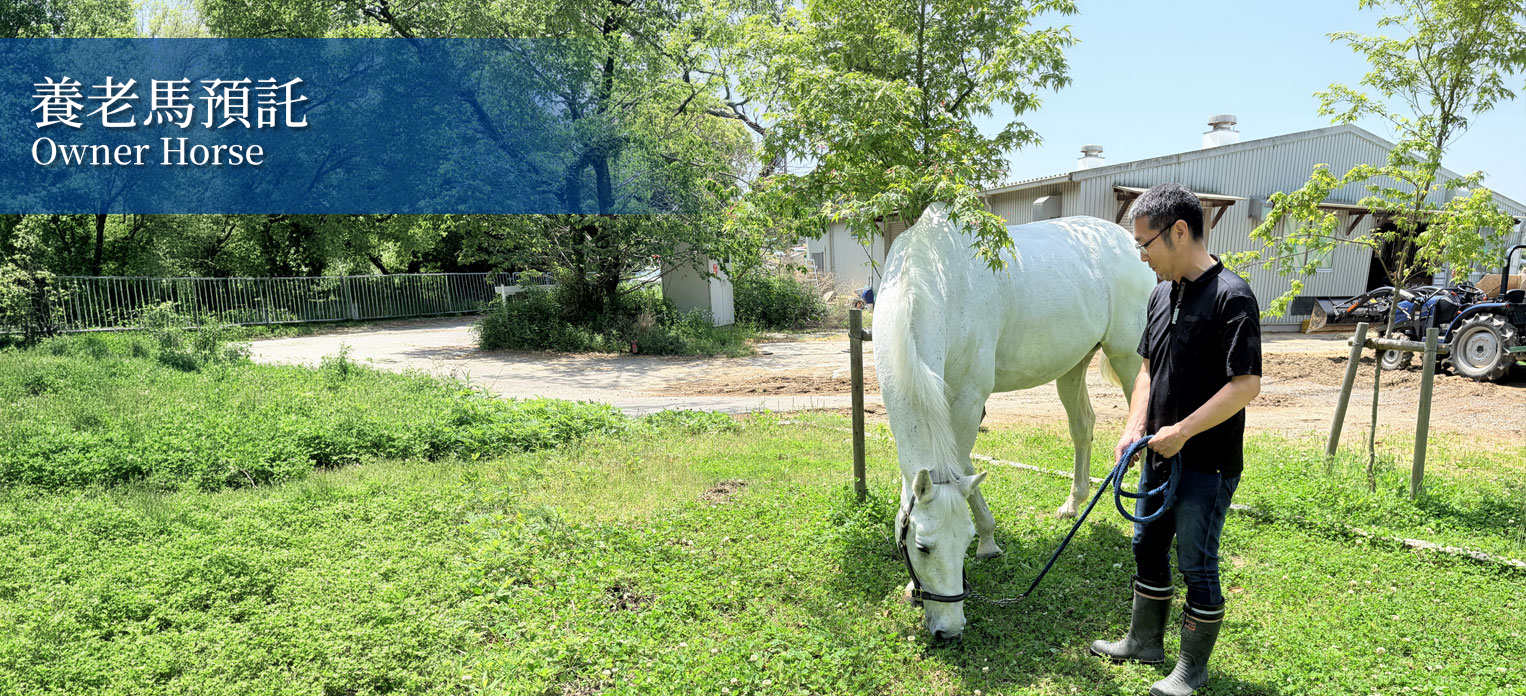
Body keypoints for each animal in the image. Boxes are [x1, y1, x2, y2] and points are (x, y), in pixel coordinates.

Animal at [873, 203, 1156, 639]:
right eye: (922, 547)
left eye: (964, 541)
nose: (951, 630)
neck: (933, 276)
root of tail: (1126, 240)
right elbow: (962, 469)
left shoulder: (969, 398)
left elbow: (962, 466)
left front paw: (988, 541)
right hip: (1073, 365)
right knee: (1083, 426)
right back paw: (1072, 504)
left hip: (1129, 360)